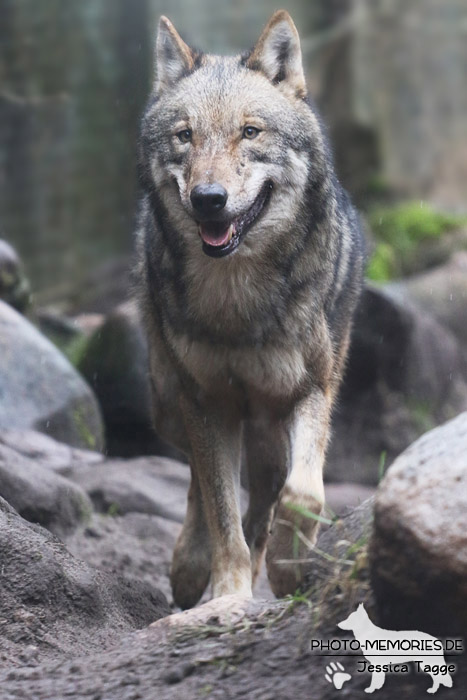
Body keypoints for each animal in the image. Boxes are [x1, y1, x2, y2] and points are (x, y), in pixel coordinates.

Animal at [135, 12, 366, 612]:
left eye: (251, 132)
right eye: (185, 135)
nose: (208, 198)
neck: (238, 303)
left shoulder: (312, 389)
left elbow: (304, 494)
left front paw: (288, 569)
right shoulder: (206, 401)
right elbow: (221, 512)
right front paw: (228, 593)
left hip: (267, 425)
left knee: (264, 497)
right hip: (170, 404)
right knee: (199, 481)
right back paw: (189, 567)